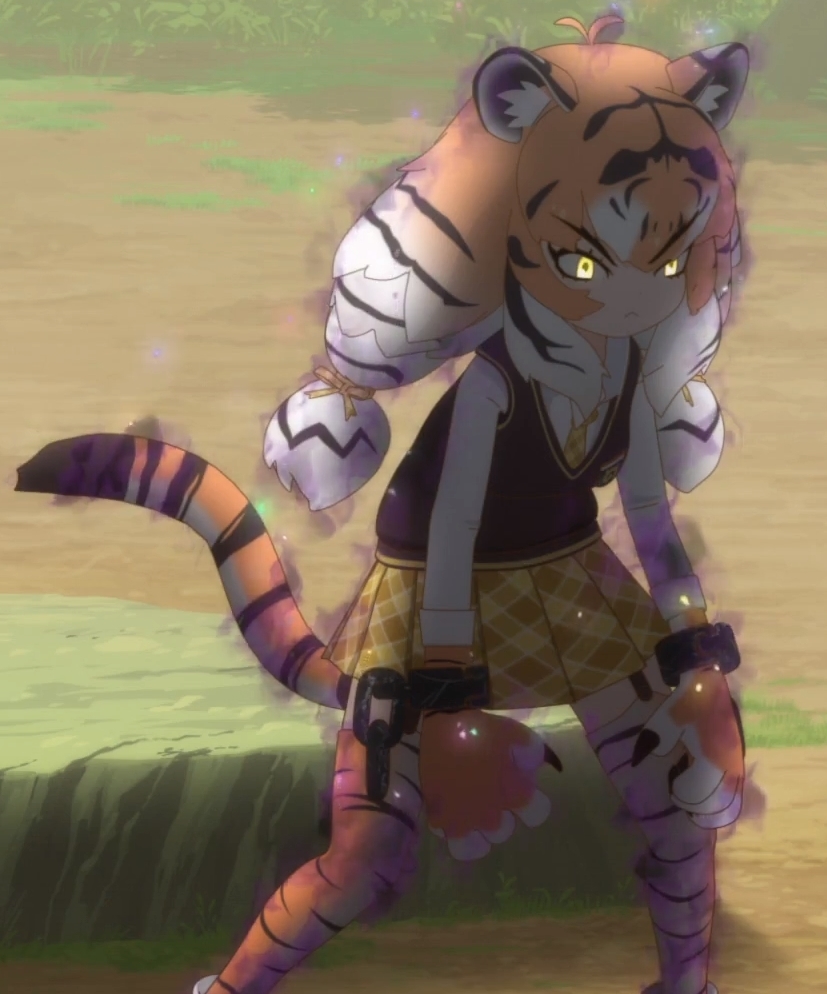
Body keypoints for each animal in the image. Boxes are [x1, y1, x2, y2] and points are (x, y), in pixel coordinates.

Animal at [15, 13, 750, 994]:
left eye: (677, 261)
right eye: (579, 262)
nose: (644, 303)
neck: (584, 355)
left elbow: (656, 532)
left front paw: (710, 705)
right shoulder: (481, 411)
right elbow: (457, 520)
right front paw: (480, 775)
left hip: (608, 657)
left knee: (666, 821)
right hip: (387, 698)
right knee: (358, 857)